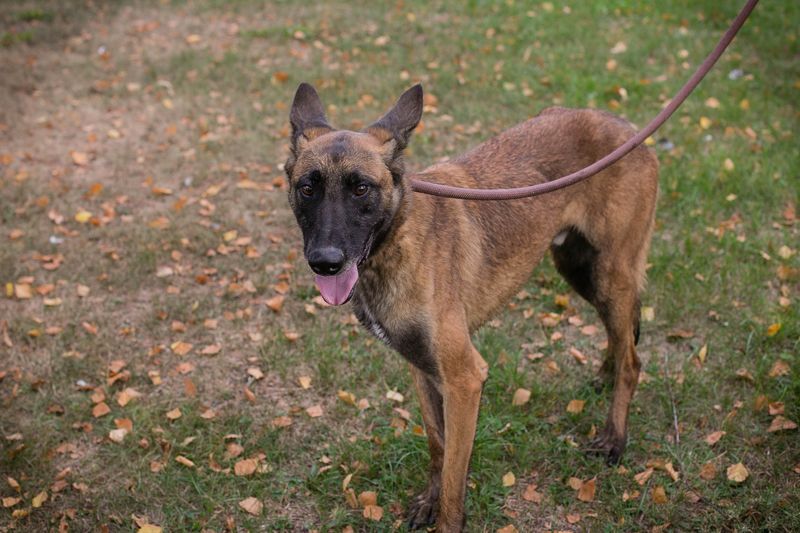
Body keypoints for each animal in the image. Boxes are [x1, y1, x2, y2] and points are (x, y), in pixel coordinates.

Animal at [285, 82, 658, 531]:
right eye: (308, 187)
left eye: (361, 188)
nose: (326, 261)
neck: (398, 238)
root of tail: (626, 127)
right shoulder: (423, 369)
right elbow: (437, 445)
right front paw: (428, 501)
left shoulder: (464, 379)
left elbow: (453, 477)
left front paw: (445, 516)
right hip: (579, 268)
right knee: (619, 337)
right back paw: (605, 372)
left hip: (609, 273)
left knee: (633, 360)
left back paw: (615, 438)